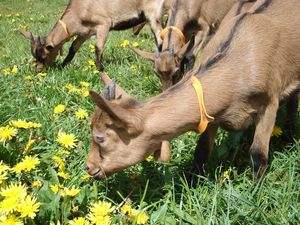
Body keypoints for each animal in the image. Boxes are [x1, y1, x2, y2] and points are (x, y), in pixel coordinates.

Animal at [19, 0, 172, 71]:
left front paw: (100, 69)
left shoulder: (104, 24)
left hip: (153, 13)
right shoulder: (85, 32)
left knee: (160, 36)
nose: (38, 70)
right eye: (35, 56)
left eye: (44, 57)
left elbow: (98, 47)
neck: (79, 10)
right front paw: (64, 65)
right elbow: (73, 47)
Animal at [86, 0, 300, 180]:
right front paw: (193, 183)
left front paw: (256, 190)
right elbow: (202, 151)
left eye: (100, 138)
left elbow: (258, 154)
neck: (238, 66)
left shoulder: (269, 103)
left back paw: (289, 137)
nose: (89, 168)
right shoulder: (211, 113)